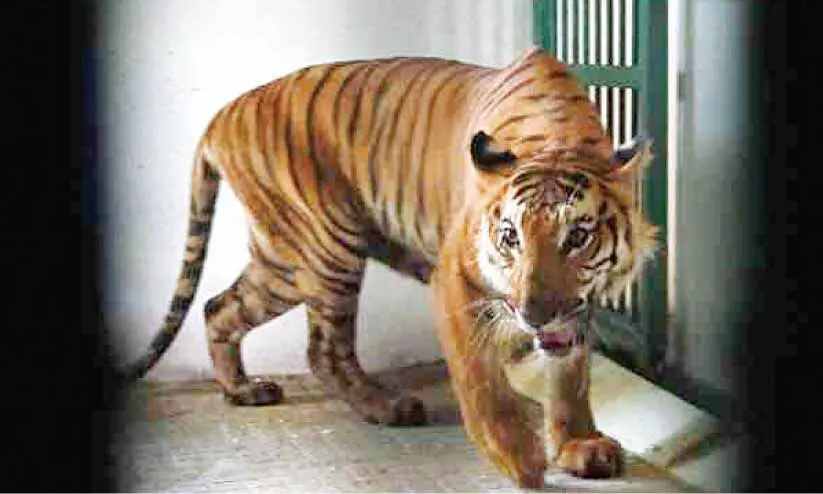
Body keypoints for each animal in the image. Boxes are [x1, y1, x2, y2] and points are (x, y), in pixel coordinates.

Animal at [121, 46, 658, 488]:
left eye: (578, 237)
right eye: (510, 238)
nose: (534, 315)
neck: (556, 139)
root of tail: (223, 112)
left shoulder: (577, 306)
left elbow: (571, 373)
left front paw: (580, 445)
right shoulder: (455, 281)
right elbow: (482, 382)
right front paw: (518, 459)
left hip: (282, 261)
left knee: (219, 307)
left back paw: (242, 390)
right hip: (325, 248)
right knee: (323, 350)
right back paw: (390, 407)